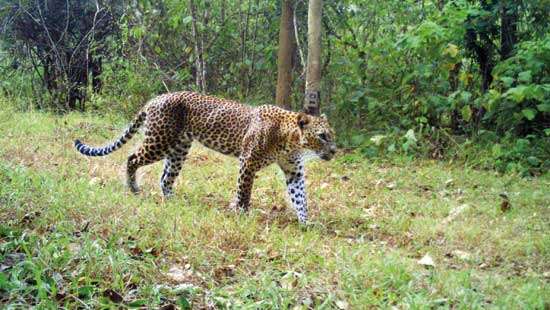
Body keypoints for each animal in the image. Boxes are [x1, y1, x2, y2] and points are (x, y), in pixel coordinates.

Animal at [74, 91, 336, 224]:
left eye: (331, 136)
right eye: (323, 136)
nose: (334, 150)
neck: (291, 141)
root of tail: (155, 98)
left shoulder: (294, 172)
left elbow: (300, 198)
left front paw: (306, 223)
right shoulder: (248, 162)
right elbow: (244, 192)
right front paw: (242, 214)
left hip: (179, 149)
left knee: (165, 177)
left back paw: (172, 201)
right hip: (159, 141)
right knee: (132, 158)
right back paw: (133, 189)